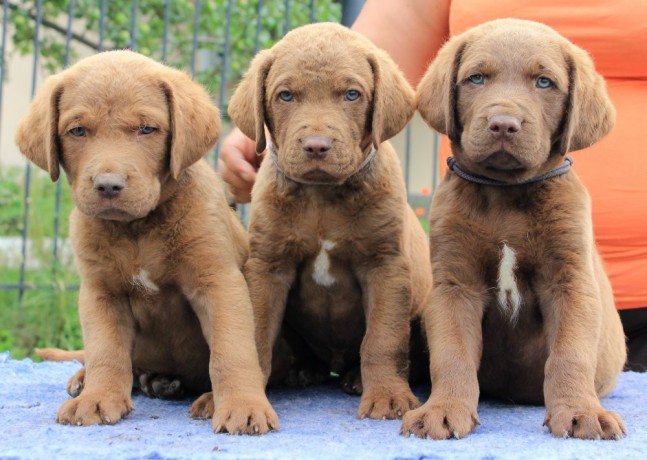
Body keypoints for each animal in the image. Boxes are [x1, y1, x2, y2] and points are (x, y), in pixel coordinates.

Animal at [14, 50, 278, 434]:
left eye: (147, 129)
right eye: (77, 131)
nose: (108, 185)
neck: (137, 230)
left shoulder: (218, 282)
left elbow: (232, 350)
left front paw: (242, 405)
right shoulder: (101, 292)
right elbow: (106, 351)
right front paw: (98, 398)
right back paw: (100, 379)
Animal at [225, 23, 432, 420]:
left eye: (352, 94)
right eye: (286, 95)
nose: (316, 146)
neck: (321, 198)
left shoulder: (385, 265)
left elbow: (382, 338)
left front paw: (386, 396)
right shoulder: (267, 266)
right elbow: (255, 333)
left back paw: (356, 378)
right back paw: (303, 370)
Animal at [402, 18, 632, 440]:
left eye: (544, 82)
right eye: (476, 78)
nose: (503, 124)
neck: (506, 194)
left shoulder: (571, 281)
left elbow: (571, 354)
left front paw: (580, 410)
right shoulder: (455, 285)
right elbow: (452, 353)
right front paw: (444, 408)